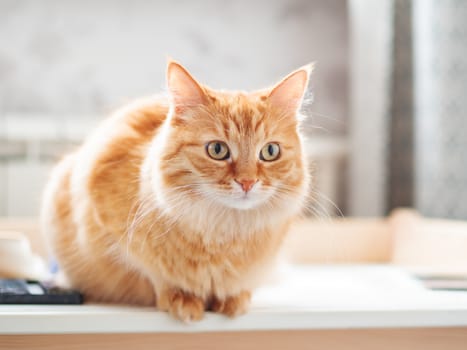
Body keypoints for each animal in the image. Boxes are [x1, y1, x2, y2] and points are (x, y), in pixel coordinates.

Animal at [40, 60, 310, 322]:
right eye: (217, 150)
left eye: (270, 152)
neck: (224, 229)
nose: (247, 182)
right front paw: (182, 298)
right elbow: (155, 275)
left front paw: (233, 299)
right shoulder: (109, 225)